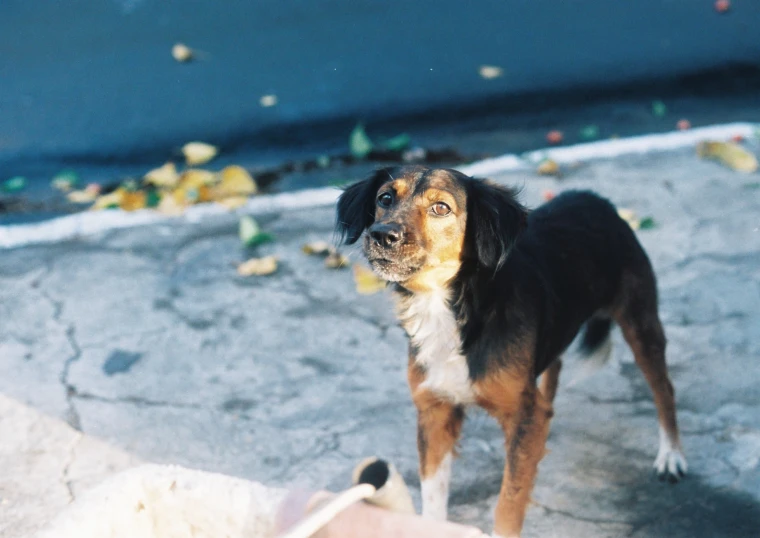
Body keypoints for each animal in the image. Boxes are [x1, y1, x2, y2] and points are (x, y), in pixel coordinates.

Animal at [336, 165, 684, 532]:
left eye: (440, 208)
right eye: (385, 198)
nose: (381, 234)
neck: (454, 308)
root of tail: (594, 198)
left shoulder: (522, 414)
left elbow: (509, 502)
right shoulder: (435, 410)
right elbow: (433, 496)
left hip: (641, 325)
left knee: (664, 389)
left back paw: (671, 456)